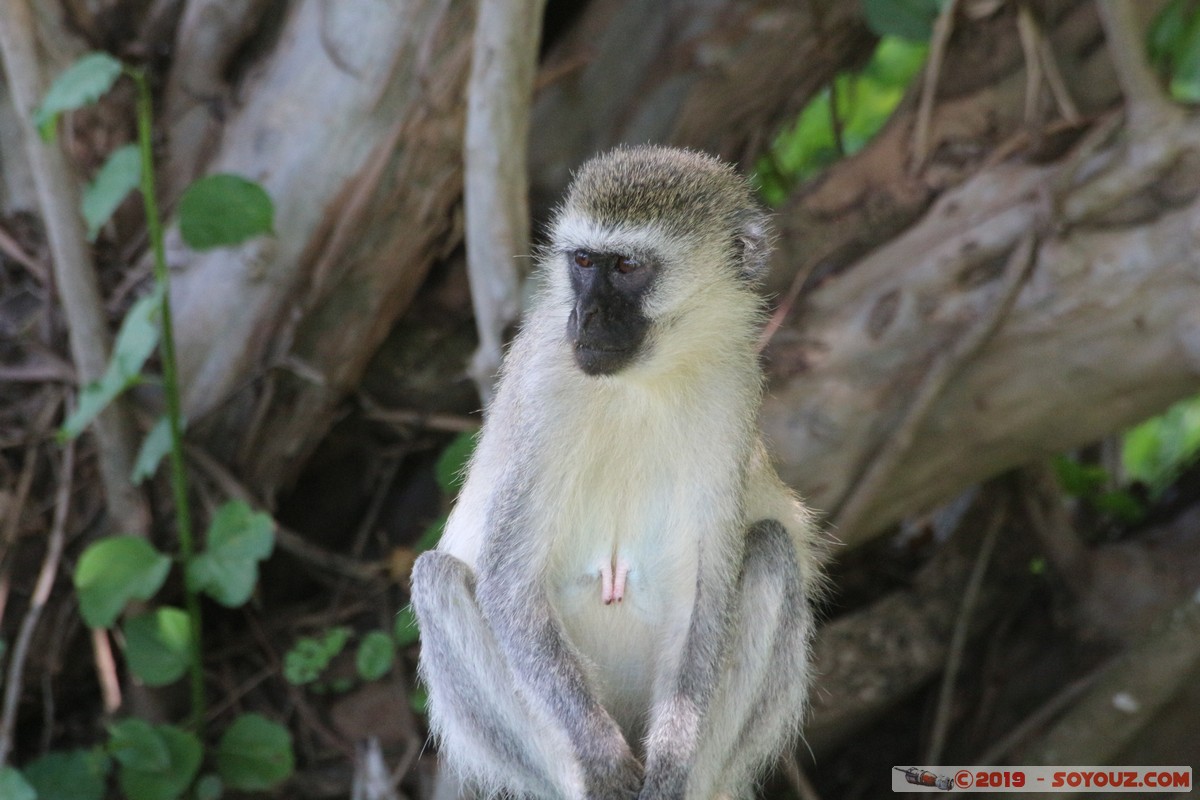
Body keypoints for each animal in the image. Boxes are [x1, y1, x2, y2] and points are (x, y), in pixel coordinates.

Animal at [410, 145, 820, 800]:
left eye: (626, 267)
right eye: (583, 261)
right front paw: (602, 761)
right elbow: (508, 583)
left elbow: (707, 590)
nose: (587, 314)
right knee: (437, 579)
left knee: (773, 550)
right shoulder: (547, 383)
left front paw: (673, 762)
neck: (639, 381)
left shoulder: (733, 387)